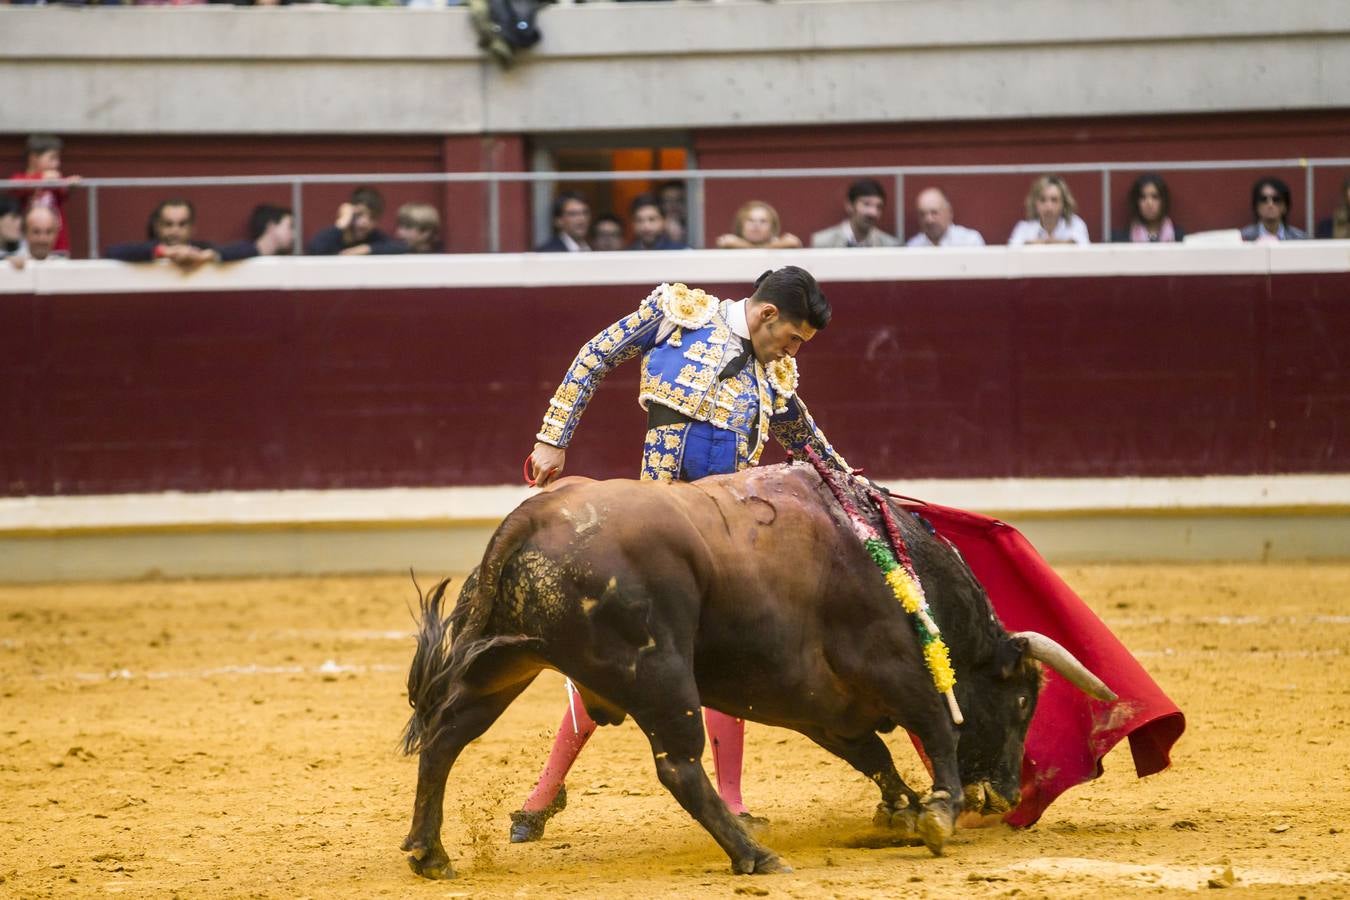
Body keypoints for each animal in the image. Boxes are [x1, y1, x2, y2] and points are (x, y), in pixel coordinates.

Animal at [394, 464, 1112, 879]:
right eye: (1023, 701)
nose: (1010, 794)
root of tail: (528, 519)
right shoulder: (892, 667)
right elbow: (935, 728)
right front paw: (936, 811)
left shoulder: (821, 705)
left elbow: (874, 754)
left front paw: (901, 810)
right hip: (660, 675)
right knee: (679, 766)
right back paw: (754, 855)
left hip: (506, 664)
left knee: (446, 737)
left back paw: (430, 853)